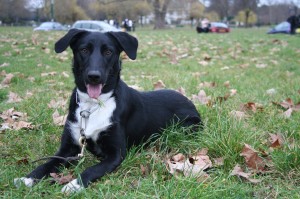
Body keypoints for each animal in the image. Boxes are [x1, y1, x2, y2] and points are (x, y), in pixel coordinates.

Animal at [14, 28, 202, 194]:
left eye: (108, 52)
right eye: (83, 50)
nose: (94, 76)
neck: (92, 106)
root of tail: (188, 100)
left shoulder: (116, 154)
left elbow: (92, 169)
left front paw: (74, 184)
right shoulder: (69, 148)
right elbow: (48, 163)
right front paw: (28, 178)